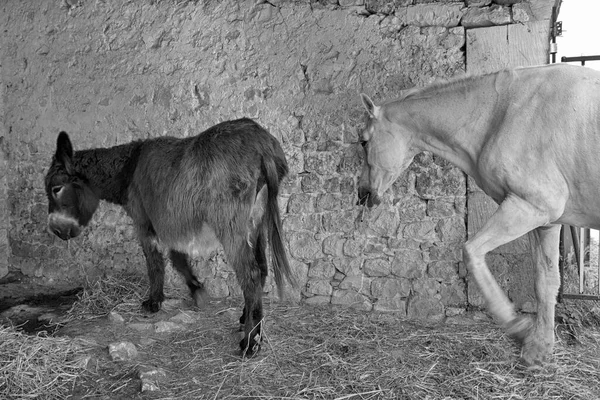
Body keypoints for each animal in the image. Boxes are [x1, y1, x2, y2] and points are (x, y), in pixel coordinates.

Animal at [358, 63, 596, 366]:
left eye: (364, 142)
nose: (363, 193)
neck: (504, 113)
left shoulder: (528, 207)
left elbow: (471, 252)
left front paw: (517, 327)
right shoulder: (545, 222)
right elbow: (545, 281)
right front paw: (540, 349)